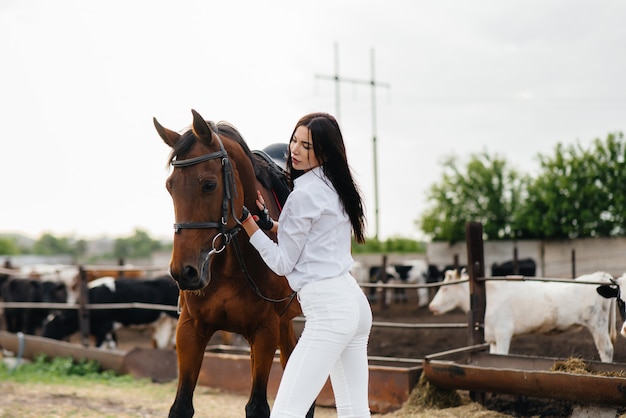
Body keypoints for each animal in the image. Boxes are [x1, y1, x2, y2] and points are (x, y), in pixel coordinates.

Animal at [41, 276, 178, 348]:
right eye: (45, 325)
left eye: (53, 326)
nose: (43, 338)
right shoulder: (108, 330)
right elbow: (112, 347)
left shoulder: (102, 327)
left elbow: (99, 348)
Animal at [152, 110, 308, 418]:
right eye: (169, 187)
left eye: (209, 184)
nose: (184, 272)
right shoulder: (190, 328)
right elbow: (181, 406)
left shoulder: (264, 330)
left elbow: (257, 406)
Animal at [428, 270, 616, 360]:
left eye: (445, 288)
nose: (431, 306)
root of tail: (600, 275)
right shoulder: (492, 338)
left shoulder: (503, 333)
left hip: (598, 323)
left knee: (606, 349)